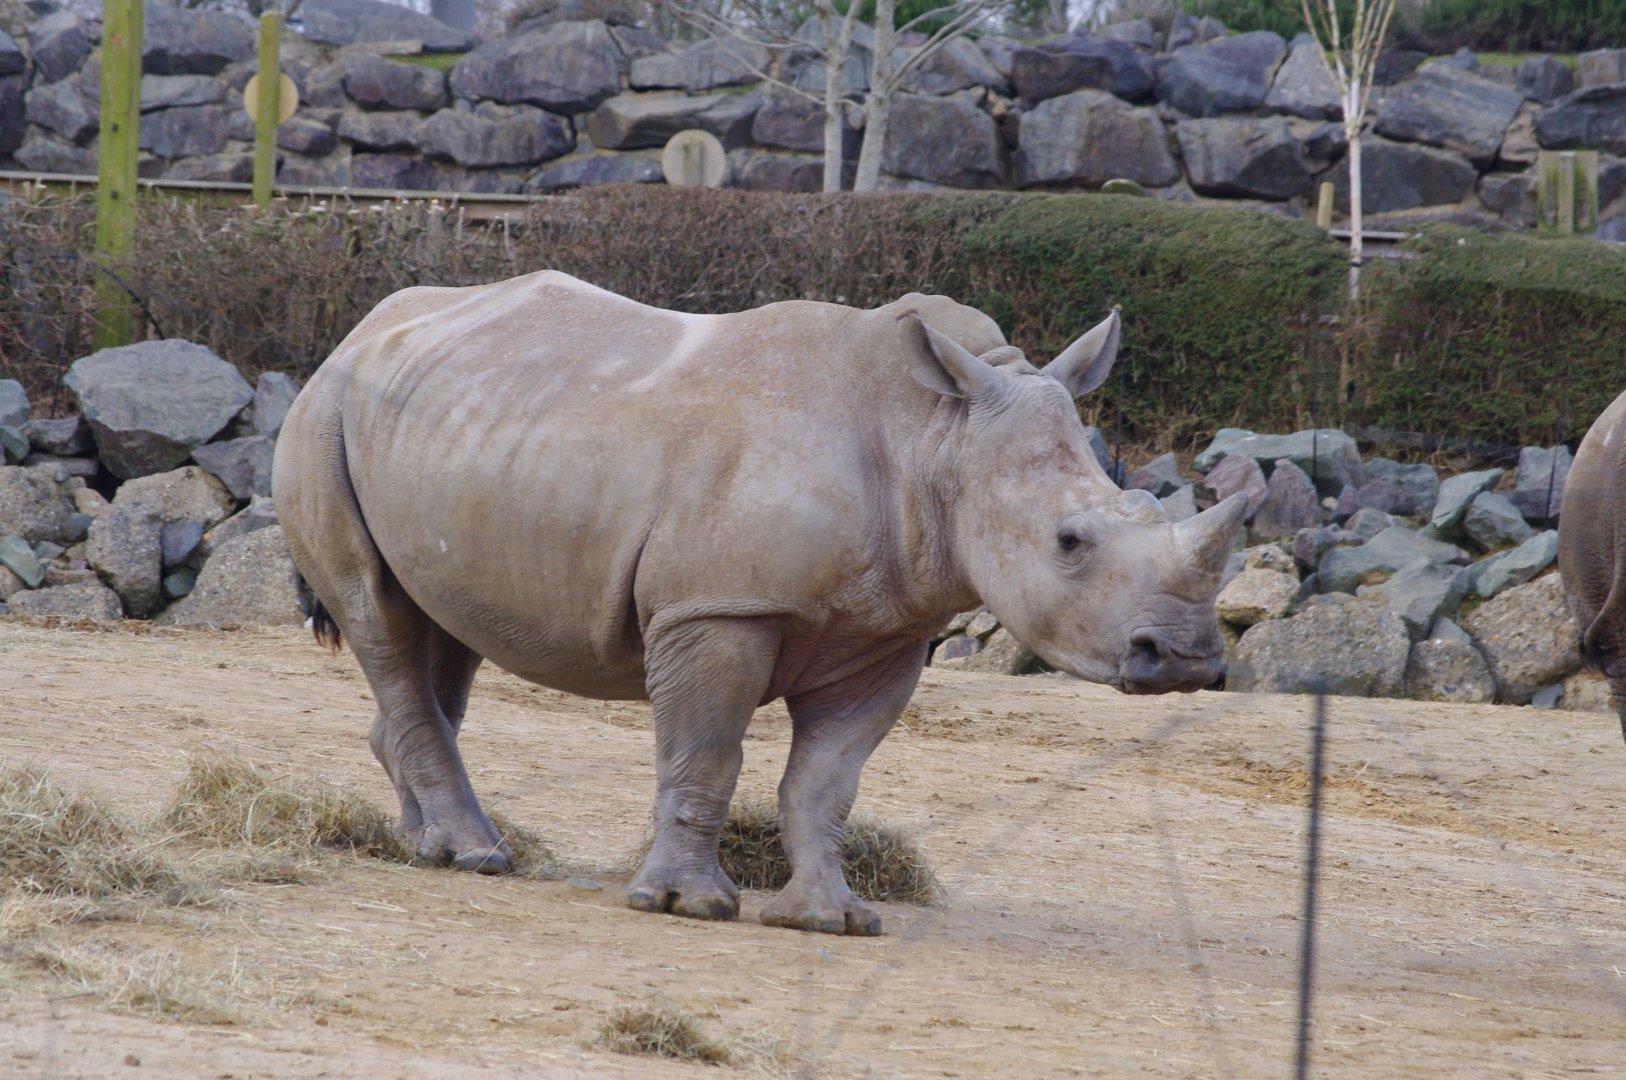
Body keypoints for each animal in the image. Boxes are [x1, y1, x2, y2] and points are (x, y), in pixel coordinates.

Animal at [272, 271, 1247, 936]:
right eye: (1069, 543)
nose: (1188, 656)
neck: (935, 439)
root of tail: (355, 336)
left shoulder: (889, 634)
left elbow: (826, 781)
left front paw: (830, 919)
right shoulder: (718, 609)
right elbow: (707, 751)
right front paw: (684, 905)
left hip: (450, 428)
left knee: (441, 631)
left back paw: (427, 847)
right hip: (321, 421)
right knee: (379, 618)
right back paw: (476, 856)